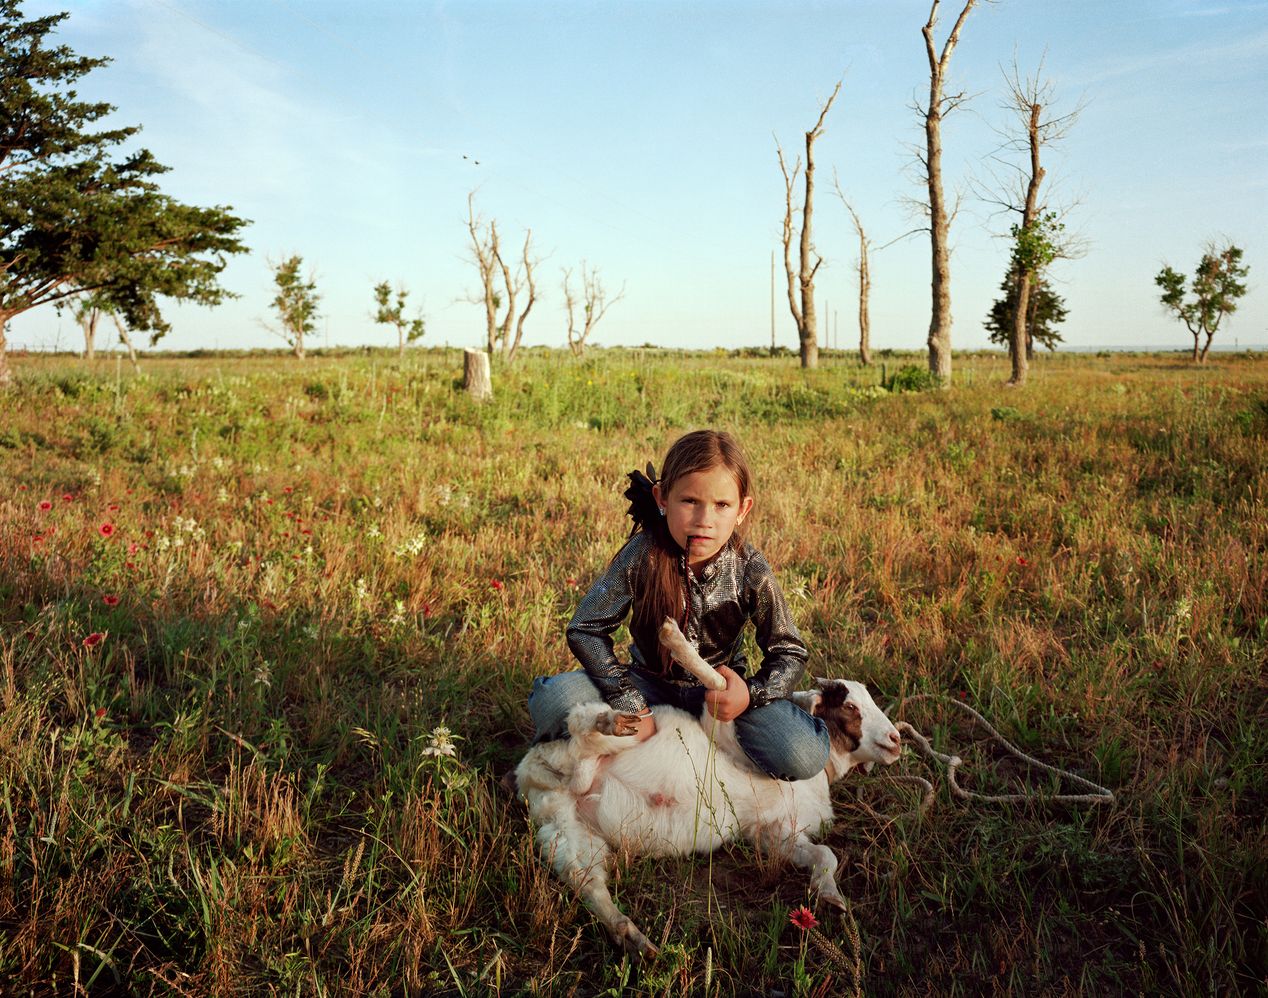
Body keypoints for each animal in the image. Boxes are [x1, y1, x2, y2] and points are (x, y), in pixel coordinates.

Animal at [514, 621, 902, 958]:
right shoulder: (726, 735)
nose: (896, 740)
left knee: (586, 880)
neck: (820, 774)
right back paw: (610, 720)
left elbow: (825, 854)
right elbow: (719, 682)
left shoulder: (774, 833)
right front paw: (676, 642)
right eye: (850, 706)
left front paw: (832, 899)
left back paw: (633, 938)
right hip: (612, 743)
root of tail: (532, 774)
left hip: (569, 834)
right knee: (580, 727)